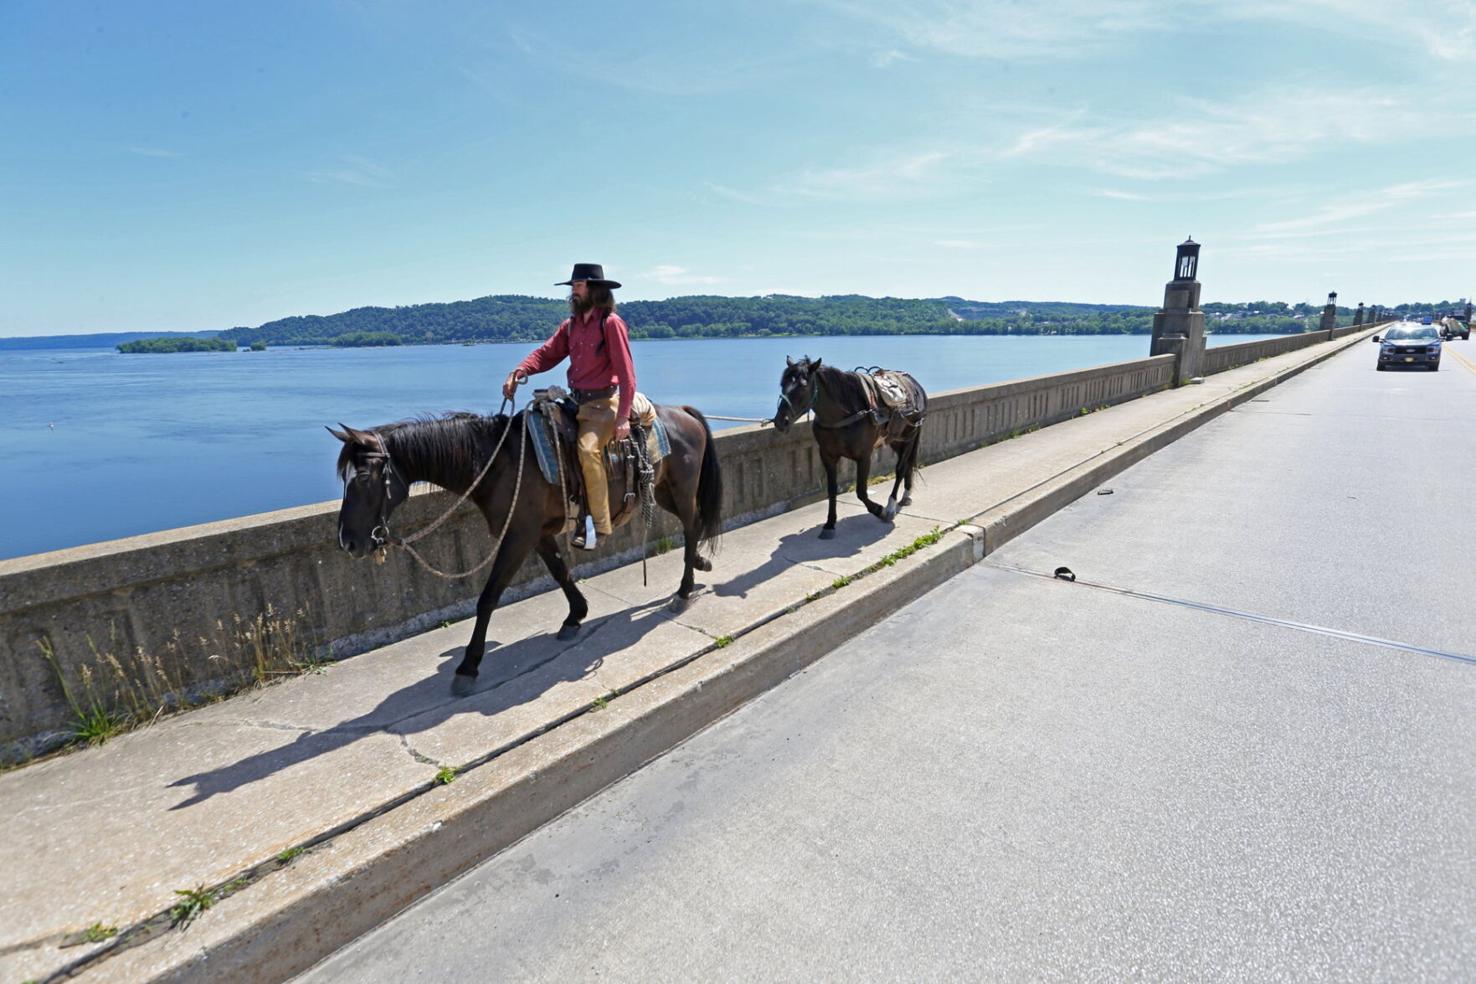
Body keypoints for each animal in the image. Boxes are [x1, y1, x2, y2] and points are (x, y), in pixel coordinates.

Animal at [330, 404, 723, 696]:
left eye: (362, 478)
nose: (348, 541)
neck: (498, 464)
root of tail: (683, 412)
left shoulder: (517, 535)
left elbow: (489, 597)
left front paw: (468, 666)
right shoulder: (536, 533)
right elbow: (560, 571)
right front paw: (575, 615)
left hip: (681, 487)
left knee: (691, 527)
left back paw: (684, 590)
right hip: (662, 489)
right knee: (694, 524)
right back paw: (699, 564)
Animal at [771, 356, 927, 539]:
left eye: (803, 385)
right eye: (783, 384)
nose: (781, 421)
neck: (844, 414)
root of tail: (915, 384)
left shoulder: (864, 456)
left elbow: (861, 491)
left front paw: (879, 510)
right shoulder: (827, 456)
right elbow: (832, 490)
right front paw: (830, 524)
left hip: (910, 436)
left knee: (901, 468)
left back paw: (890, 506)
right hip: (896, 439)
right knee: (908, 464)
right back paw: (906, 495)